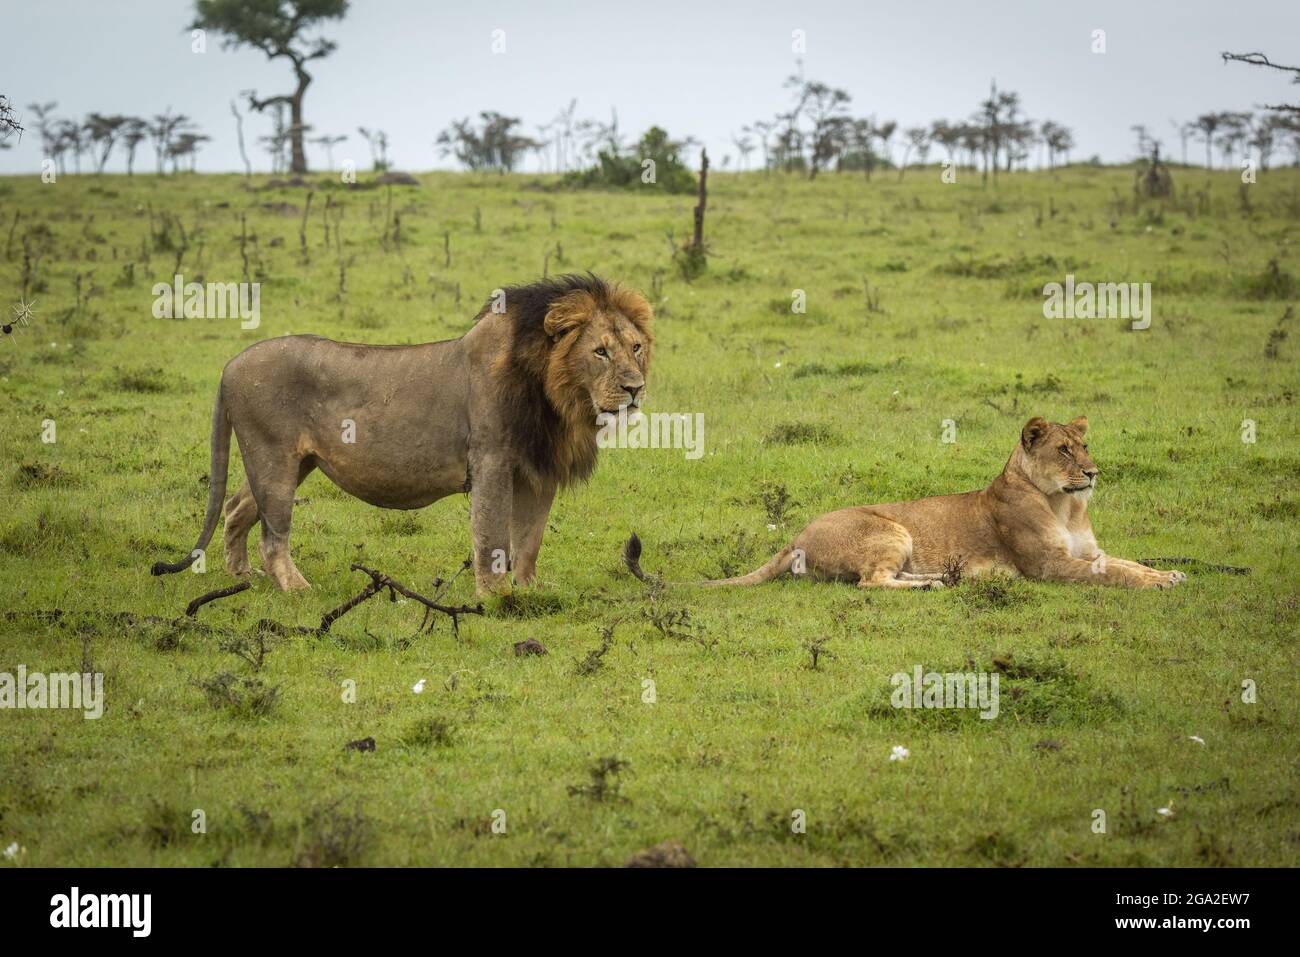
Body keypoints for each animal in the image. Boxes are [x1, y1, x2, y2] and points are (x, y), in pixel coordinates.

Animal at [151, 274, 653, 595]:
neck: (559, 399)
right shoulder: (491, 461)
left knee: (236, 508)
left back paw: (242, 577)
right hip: (273, 460)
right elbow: (492, 537)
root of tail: (229, 365)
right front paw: (495, 597)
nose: (635, 388)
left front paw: (530, 590)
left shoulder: (537, 472)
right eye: (600, 352)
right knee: (274, 535)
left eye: (636, 348)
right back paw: (296, 588)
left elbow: (528, 541)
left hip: (293, 463)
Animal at [627, 416, 1186, 591]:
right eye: (1063, 450)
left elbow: (1124, 561)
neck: (1066, 505)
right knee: (871, 583)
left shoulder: (1086, 551)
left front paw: (1169, 573)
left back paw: (940, 579)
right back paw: (930, 586)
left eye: (1085, 445)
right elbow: (1113, 573)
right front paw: (1158, 583)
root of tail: (795, 537)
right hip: (892, 529)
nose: (1093, 473)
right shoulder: (1048, 566)